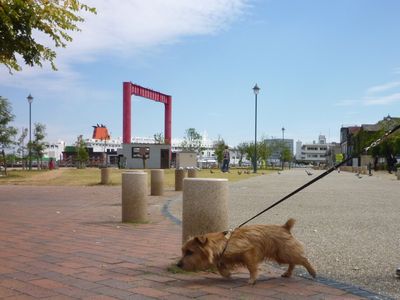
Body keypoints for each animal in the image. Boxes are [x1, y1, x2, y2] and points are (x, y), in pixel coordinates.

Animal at [177, 218, 316, 284]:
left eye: (190, 252)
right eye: (183, 251)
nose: (178, 265)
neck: (222, 243)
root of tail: (285, 227)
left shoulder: (249, 253)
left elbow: (252, 268)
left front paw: (252, 279)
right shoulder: (222, 257)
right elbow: (220, 266)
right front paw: (226, 274)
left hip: (284, 252)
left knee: (303, 259)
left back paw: (312, 271)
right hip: (281, 255)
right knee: (293, 262)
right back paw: (287, 273)